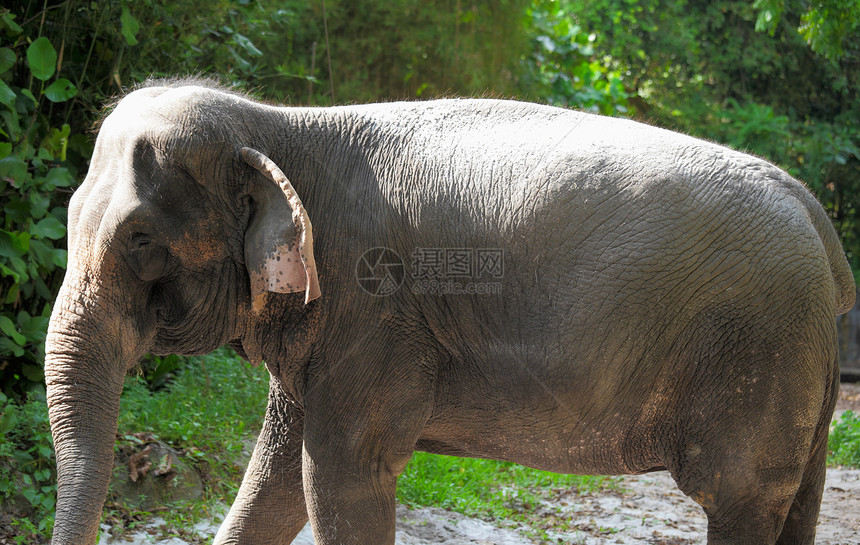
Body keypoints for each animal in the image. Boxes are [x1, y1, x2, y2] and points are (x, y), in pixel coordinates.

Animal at [45, 77, 852, 544]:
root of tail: (815, 213)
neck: (279, 125)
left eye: (140, 239)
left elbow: (336, 477)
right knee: (794, 504)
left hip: (758, 347)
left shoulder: (373, 314)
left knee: (737, 498)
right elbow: (274, 482)